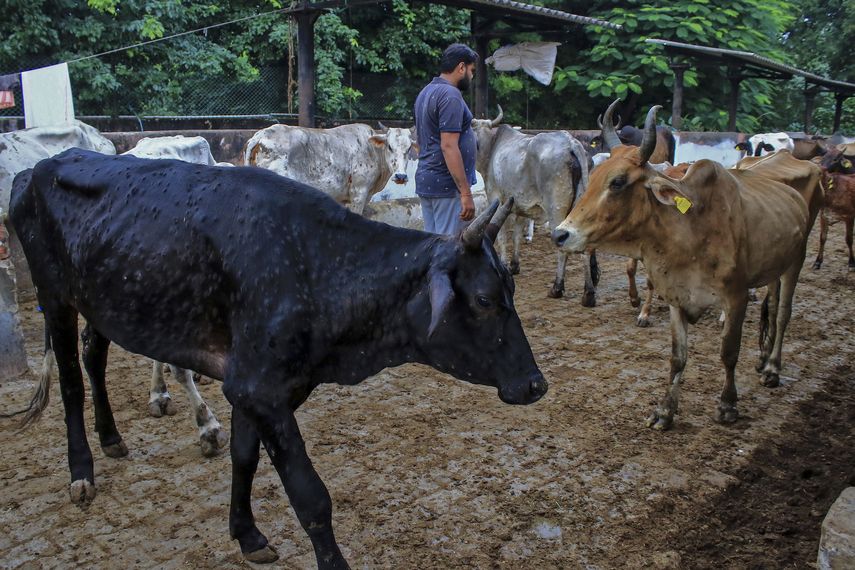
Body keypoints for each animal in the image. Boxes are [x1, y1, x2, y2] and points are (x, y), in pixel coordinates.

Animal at [10, 149, 547, 568]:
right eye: (483, 299)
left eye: (511, 288)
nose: (536, 384)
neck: (316, 264)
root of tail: (36, 168)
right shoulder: (260, 389)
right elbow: (311, 497)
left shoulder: (252, 386)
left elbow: (244, 458)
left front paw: (246, 534)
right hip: (53, 294)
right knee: (71, 381)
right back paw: (82, 472)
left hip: (101, 301)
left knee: (93, 357)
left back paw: (111, 437)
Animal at [244, 123, 416, 215]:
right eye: (390, 146)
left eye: (409, 149)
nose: (401, 176)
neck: (373, 151)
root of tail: (261, 135)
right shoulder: (359, 193)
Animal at [471, 107, 600, 305]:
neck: (492, 147)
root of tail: (571, 143)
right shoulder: (518, 207)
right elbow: (516, 234)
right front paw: (514, 265)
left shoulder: (497, 199)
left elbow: (502, 236)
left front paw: (504, 264)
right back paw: (588, 294)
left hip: (556, 212)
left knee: (562, 247)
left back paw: (557, 288)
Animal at [552, 100, 820, 430]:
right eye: (592, 178)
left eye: (618, 182)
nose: (561, 234)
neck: (689, 231)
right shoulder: (677, 298)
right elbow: (677, 356)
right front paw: (665, 411)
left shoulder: (736, 297)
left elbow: (729, 352)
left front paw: (727, 405)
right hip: (773, 267)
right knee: (771, 305)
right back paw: (762, 358)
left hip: (796, 260)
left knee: (782, 315)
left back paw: (772, 368)